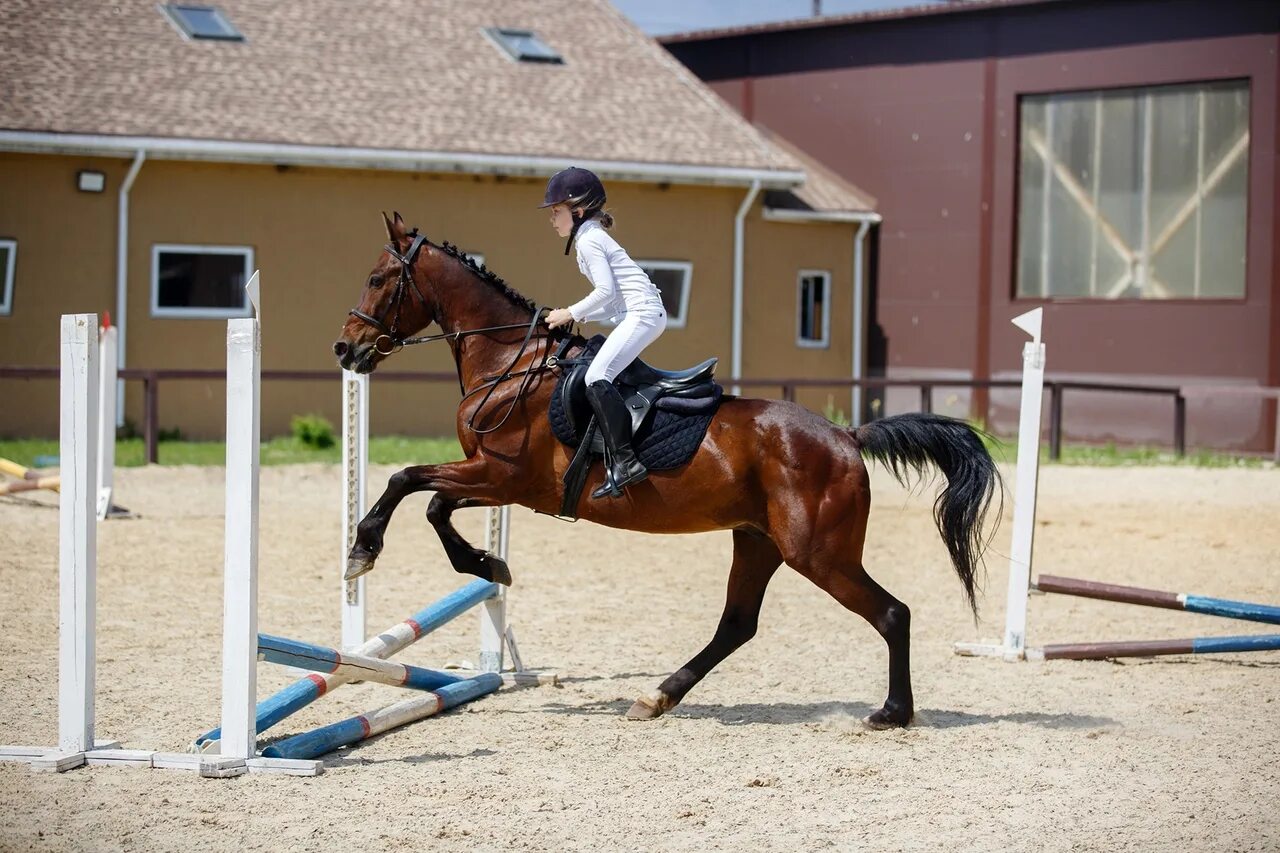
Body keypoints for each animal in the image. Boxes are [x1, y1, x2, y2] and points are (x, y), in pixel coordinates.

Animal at [332, 211, 998, 722]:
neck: (508, 365)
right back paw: (657, 697)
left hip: (817, 552)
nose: (345, 348)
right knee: (737, 625)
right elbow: (435, 503)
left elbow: (405, 480)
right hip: (758, 541)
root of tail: (846, 435)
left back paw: (892, 712)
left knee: (890, 613)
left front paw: (364, 549)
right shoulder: (501, 483)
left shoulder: (502, 477)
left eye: (376, 278)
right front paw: (485, 563)